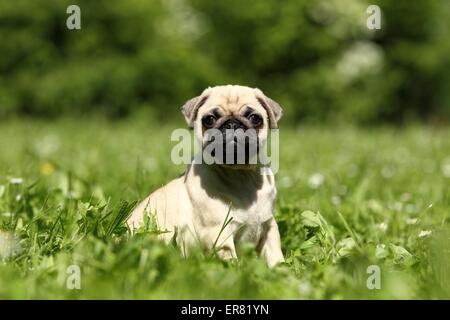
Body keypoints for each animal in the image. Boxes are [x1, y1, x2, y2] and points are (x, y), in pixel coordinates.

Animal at [128, 85, 284, 268]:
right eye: (209, 119)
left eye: (254, 118)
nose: (232, 123)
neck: (240, 175)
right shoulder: (218, 233)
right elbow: (229, 259)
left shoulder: (269, 227)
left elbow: (275, 255)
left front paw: (282, 269)